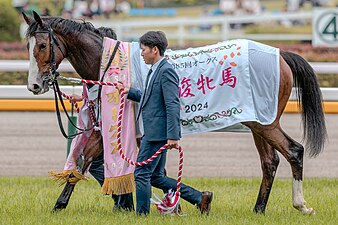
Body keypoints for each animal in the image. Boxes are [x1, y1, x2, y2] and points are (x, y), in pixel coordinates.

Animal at [22, 11, 326, 215]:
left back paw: (301, 205)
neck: (112, 64)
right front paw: (60, 205)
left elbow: (148, 168)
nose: (34, 85)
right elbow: (85, 160)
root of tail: (281, 53)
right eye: (28, 46)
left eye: (42, 45)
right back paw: (259, 209)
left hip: (264, 123)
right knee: (270, 162)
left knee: (294, 151)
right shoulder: (115, 129)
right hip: (257, 121)